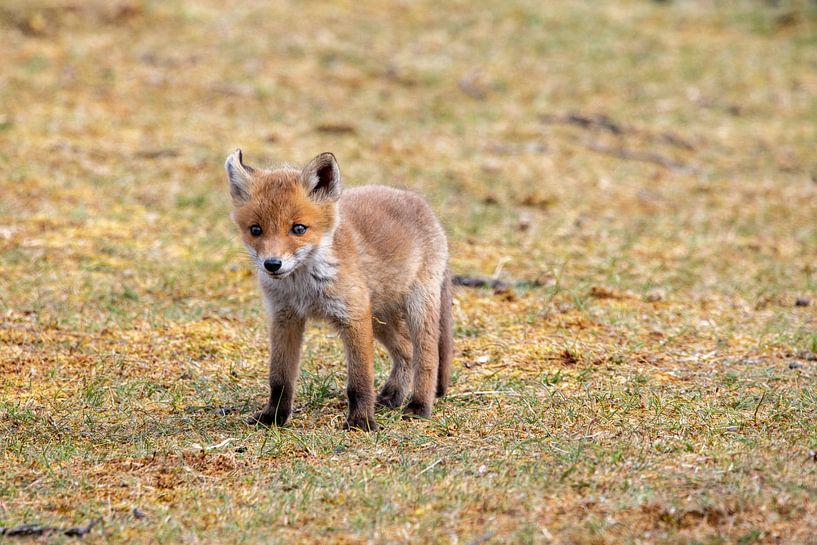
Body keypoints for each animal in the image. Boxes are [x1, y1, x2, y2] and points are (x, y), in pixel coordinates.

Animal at [224, 149, 453, 431]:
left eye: (298, 228)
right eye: (256, 230)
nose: (272, 264)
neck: (304, 289)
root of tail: (417, 199)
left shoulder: (352, 318)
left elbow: (359, 382)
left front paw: (361, 422)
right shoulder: (284, 318)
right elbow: (280, 380)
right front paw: (274, 417)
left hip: (416, 307)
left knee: (427, 358)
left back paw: (419, 406)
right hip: (378, 318)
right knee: (406, 351)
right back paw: (392, 396)